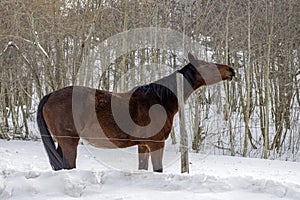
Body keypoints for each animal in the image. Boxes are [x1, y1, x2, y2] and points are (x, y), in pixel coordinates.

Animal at [37, 53, 234, 172]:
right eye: (207, 65)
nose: (231, 70)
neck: (159, 99)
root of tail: (50, 95)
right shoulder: (156, 144)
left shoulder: (143, 146)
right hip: (69, 142)